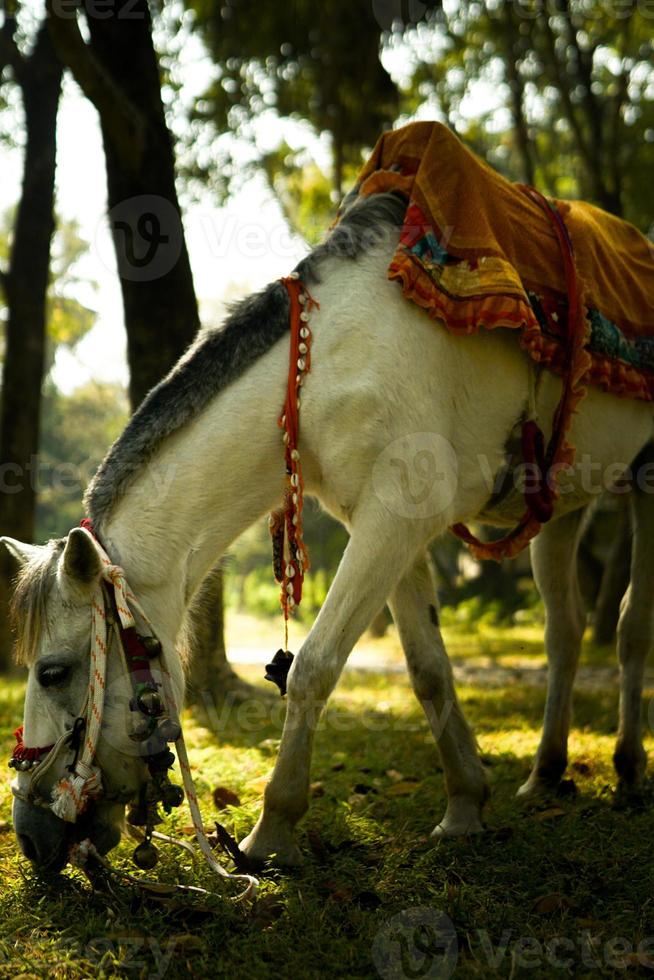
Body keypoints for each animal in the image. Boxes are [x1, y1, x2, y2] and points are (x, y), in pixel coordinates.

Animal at [5, 195, 654, 868]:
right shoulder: (394, 529)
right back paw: (546, 772)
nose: (28, 833)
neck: (323, 368)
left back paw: (629, 768)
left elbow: (313, 665)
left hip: (645, 480)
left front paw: (272, 829)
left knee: (631, 626)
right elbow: (428, 669)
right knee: (565, 631)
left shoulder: (390, 518)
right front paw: (465, 806)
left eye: (52, 672)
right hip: (561, 508)